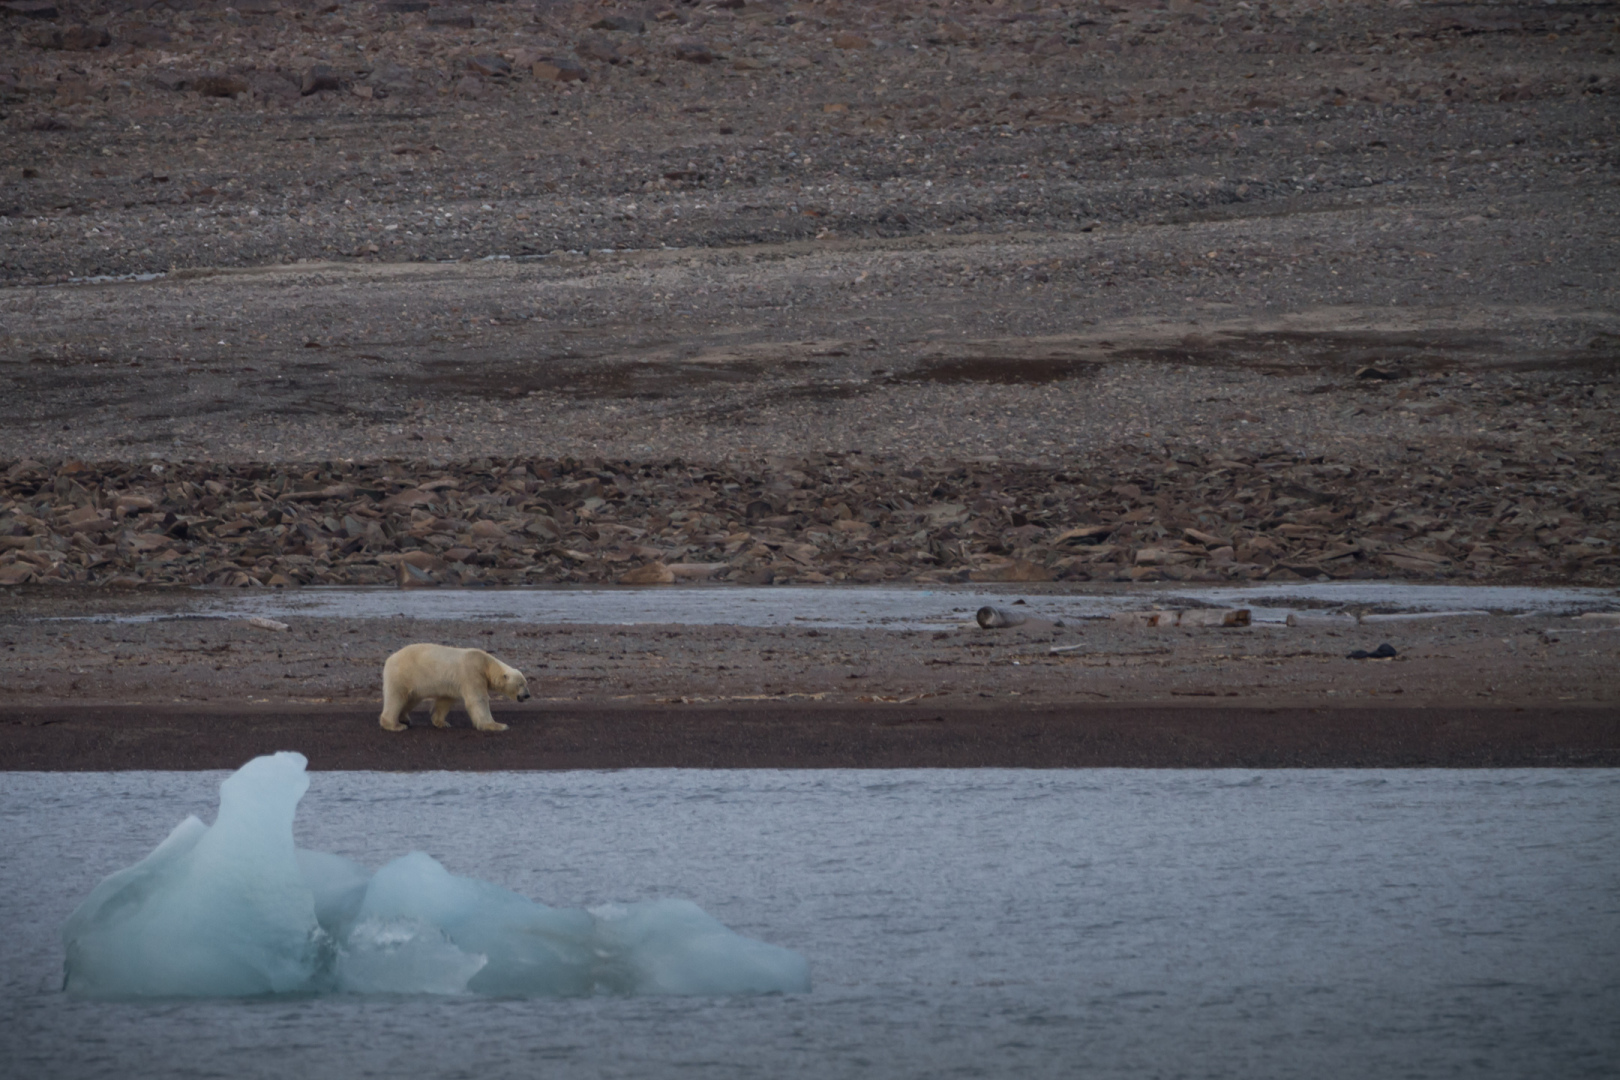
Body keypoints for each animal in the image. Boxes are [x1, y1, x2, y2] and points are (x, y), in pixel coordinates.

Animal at [379, 644, 531, 733]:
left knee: (411, 698)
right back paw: (395, 725)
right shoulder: (472, 672)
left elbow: (445, 700)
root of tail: (389, 659)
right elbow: (478, 699)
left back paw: (404, 719)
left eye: (526, 683)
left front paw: (442, 722)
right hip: (403, 674)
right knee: (396, 697)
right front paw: (498, 725)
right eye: (520, 684)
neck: (486, 663)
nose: (527, 695)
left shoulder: (451, 684)